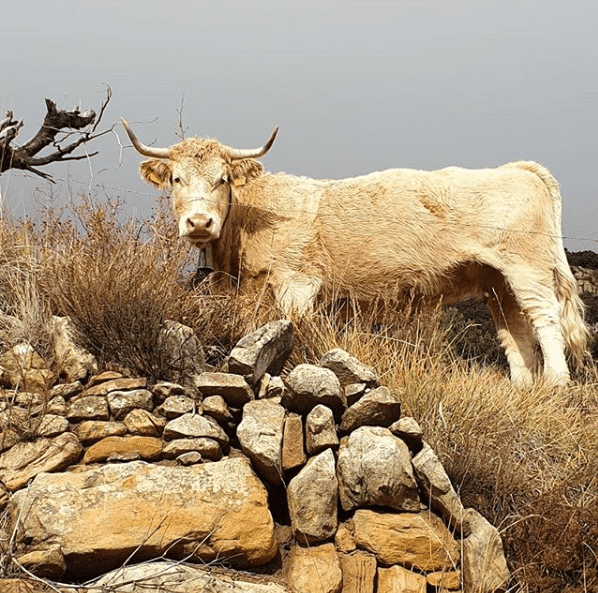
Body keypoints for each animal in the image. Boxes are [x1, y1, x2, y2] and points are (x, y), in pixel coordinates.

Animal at [123, 119, 592, 388]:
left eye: (222, 179)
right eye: (177, 179)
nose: (200, 223)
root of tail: (517, 169)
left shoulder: (297, 284)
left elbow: (297, 330)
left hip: (528, 269)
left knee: (546, 320)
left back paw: (556, 384)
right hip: (498, 283)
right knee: (516, 331)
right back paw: (523, 389)